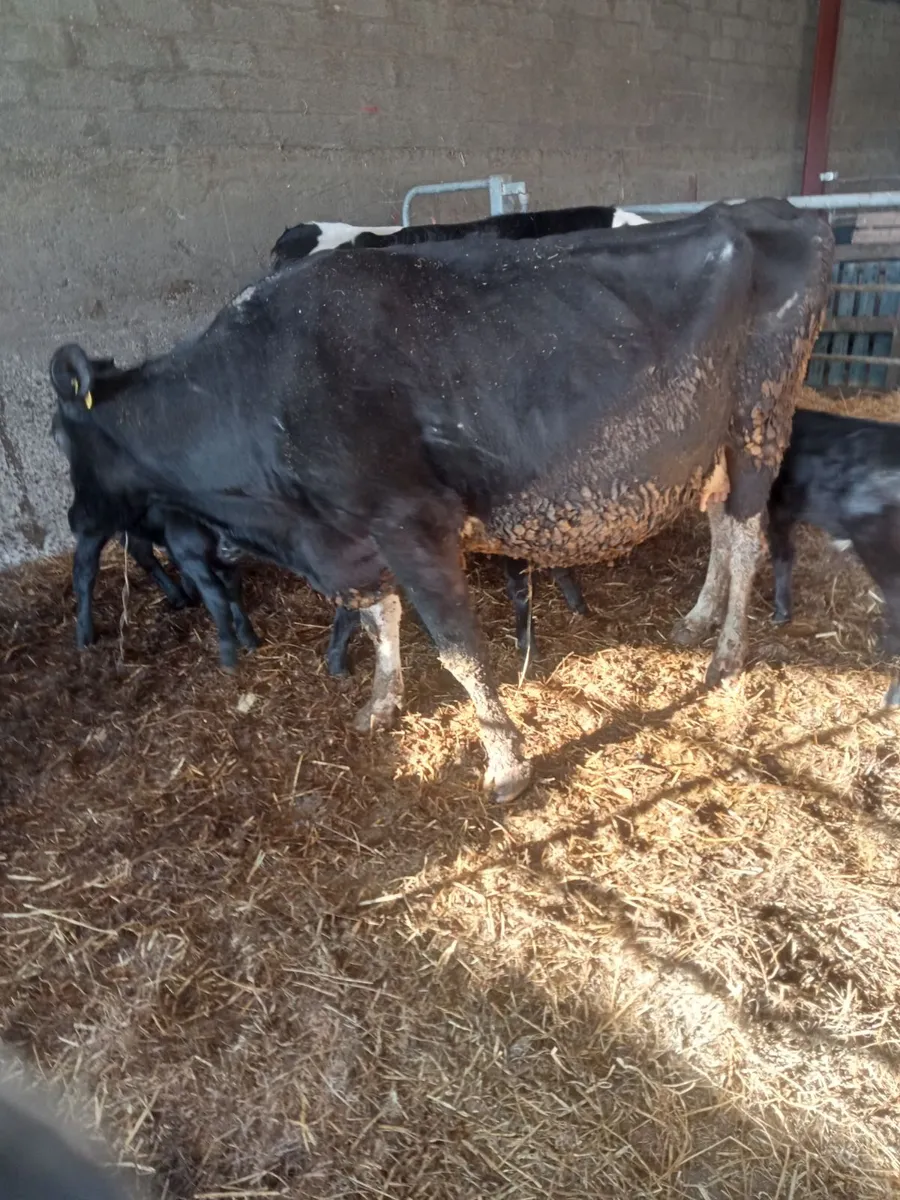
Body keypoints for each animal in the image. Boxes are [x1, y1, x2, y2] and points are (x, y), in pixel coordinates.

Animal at [52, 407, 259, 669]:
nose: (234, 547)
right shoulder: (189, 552)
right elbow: (216, 595)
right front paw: (229, 649)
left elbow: (232, 590)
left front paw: (248, 636)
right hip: (95, 518)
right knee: (84, 569)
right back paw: (84, 635)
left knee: (140, 551)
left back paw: (178, 595)